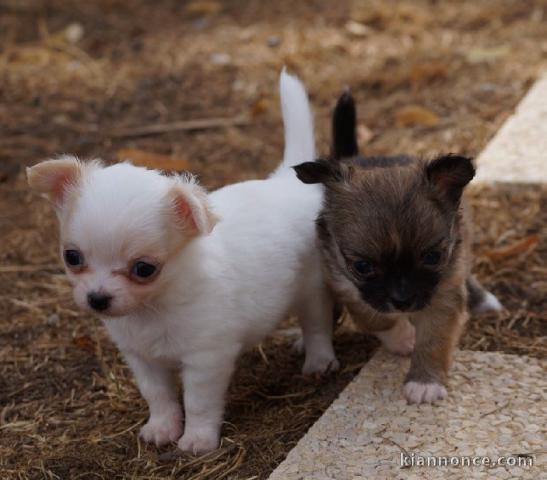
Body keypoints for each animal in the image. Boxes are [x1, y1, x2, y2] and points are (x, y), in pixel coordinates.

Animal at [28, 70, 338, 454]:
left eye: (144, 269)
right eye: (72, 257)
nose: (97, 299)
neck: (153, 308)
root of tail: (285, 182)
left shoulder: (206, 359)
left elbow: (198, 402)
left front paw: (197, 439)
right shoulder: (142, 359)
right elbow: (158, 396)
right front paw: (162, 428)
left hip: (312, 288)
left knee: (318, 323)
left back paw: (318, 360)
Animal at [296, 91, 500, 404]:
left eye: (433, 257)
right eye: (363, 267)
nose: (402, 301)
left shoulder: (443, 292)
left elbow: (434, 339)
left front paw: (425, 382)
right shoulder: (348, 286)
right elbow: (374, 317)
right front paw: (402, 337)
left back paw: (483, 300)